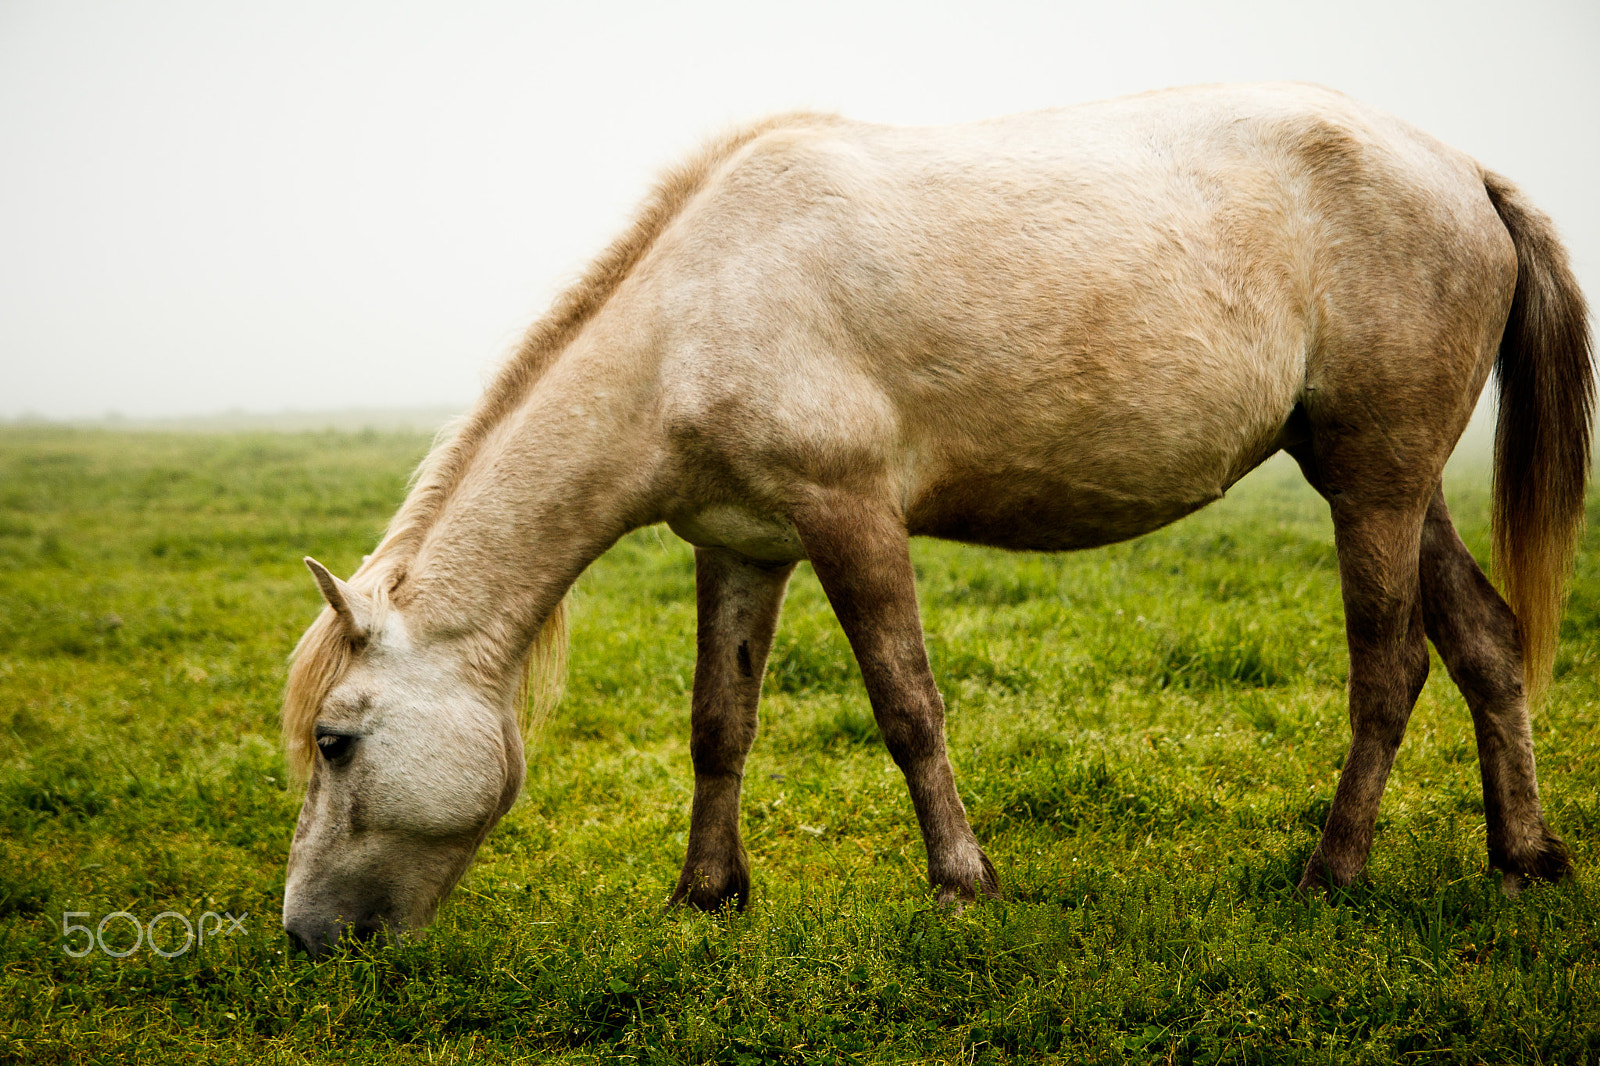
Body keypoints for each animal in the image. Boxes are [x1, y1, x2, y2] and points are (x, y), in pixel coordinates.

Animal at [280, 82, 1593, 957]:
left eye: (335, 741)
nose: (305, 936)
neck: (700, 308)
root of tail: (1463, 172)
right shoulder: (740, 545)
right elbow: (720, 724)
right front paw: (706, 894)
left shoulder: (851, 517)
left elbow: (906, 707)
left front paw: (963, 882)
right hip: (1388, 483)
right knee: (1482, 644)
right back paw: (1523, 859)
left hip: (1373, 483)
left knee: (1389, 669)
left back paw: (1332, 870)